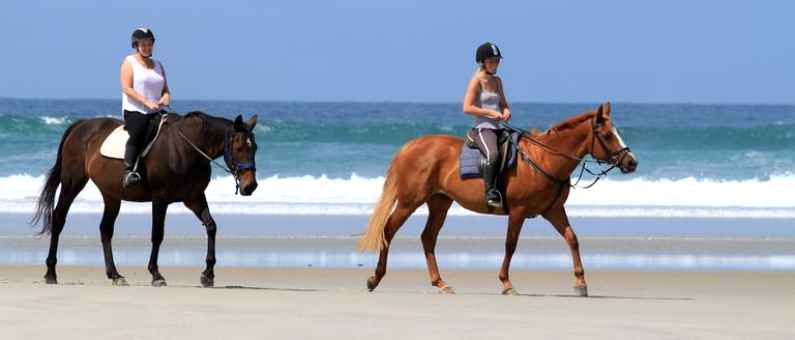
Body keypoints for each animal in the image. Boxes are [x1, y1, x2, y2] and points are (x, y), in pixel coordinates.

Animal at [31, 111, 260, 286]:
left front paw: (208, 274)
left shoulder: (194, 198)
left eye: (255, 148)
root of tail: (81, 125)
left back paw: (115, 275)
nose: (250, 186)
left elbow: (211, 226)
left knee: (105, 230)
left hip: (111, 194)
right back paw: (51, 272)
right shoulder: (160, 199)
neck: (186, 148)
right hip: (72, 183)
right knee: (59, 219)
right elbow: (157, 235)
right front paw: (156, 274)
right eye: (239, 148)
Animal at [360, 102, 640, 296]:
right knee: (389, 230)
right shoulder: (518, 211)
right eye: (607, 135)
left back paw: (440, 283)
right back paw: (375, 278)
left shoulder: (553, 211)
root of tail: (410, 146)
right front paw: (506, 283)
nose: (631, 162)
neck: (544, 159)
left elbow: (572, 239)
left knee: (428, 237)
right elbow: (510, 245)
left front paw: (580, 282)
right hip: (410, 201)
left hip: (439, 202)